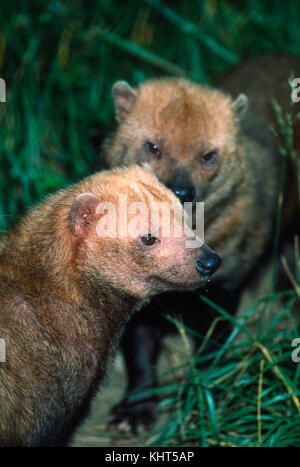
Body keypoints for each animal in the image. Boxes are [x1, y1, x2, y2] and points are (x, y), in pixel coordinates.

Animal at [103, 54, 300, 436]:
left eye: (208, 154)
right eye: (153, 146)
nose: (181, 190)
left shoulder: (224, 288)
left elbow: (212, 350)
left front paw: (204, 405)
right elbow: (140, 354)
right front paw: (134, 412)